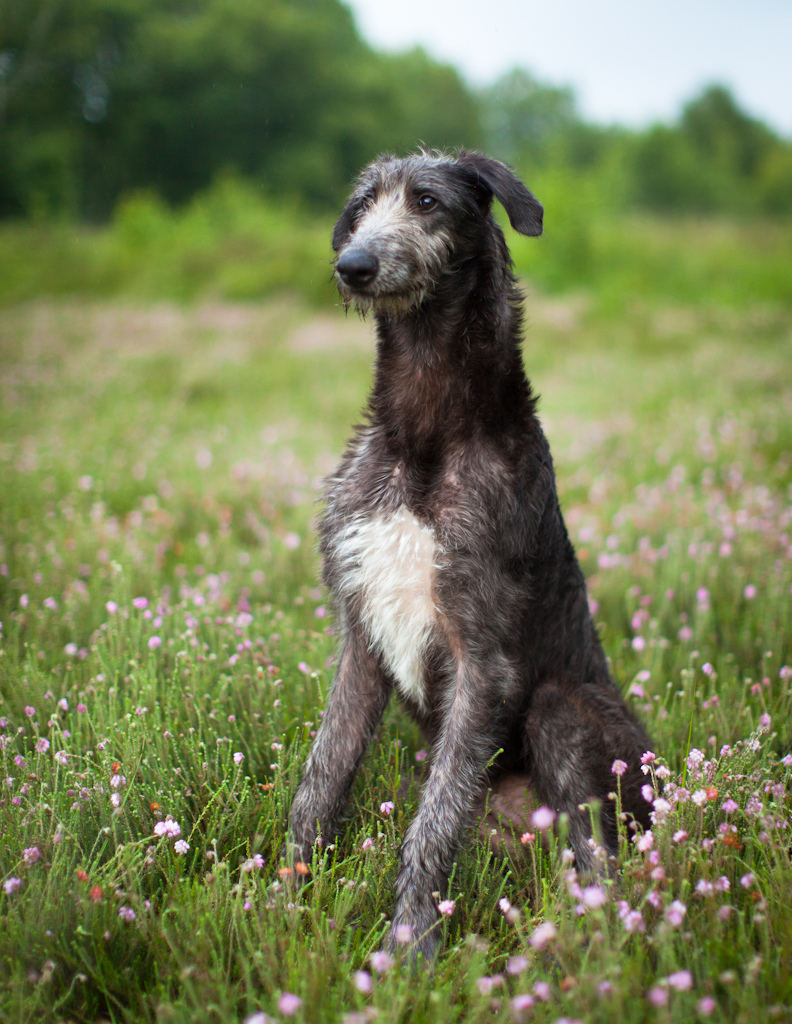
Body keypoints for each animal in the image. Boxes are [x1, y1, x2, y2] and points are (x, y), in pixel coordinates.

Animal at [286, 151, 651, 958]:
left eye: (426, 201)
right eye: (363, 204)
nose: (351, 266)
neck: (426, 428)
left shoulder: (482, 655)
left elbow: (434, 821)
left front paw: (410, 946)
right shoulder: (359, 636)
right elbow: (321, 778)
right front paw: (275, 896)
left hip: (572, 721)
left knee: (601, 859)